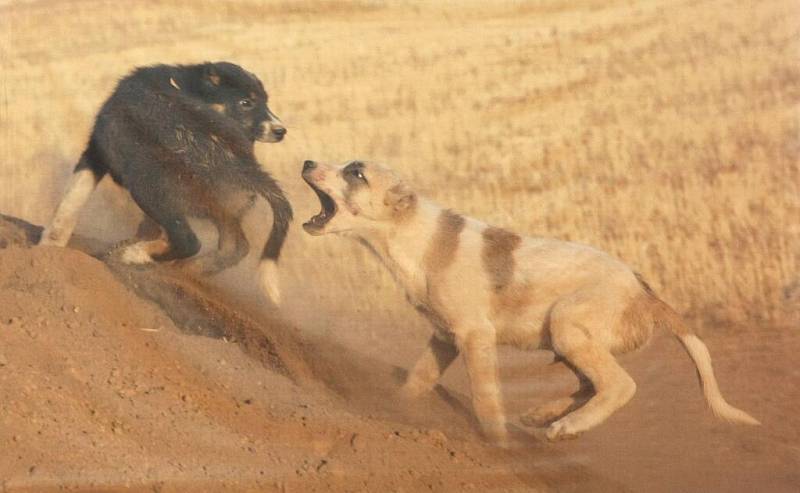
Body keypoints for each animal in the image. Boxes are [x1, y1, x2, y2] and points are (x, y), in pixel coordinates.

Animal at [40, 61, 290, 300]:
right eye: (246, 102)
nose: (281, 131)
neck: (184, 85)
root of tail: (240, 162)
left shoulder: (98, 150)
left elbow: (71, 201)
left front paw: (49, 247)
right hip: (220, 207)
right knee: (235, 247)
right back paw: (187, 269)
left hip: (149, 187)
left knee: (188, 240)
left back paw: (134, 255)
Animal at [298, 160, 756, 444]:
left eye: (356, 172)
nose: (305, 162)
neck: (410, 234)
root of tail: (646, 294)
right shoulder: (444, 337)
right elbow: (418, 380)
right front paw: (396, 411)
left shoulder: (475, 336)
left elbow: (485, 399)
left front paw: (499, 448)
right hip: (569, 341)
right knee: (590, 383)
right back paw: (544, 416)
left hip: (568, 322)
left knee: (619, 384)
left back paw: (566, 426)